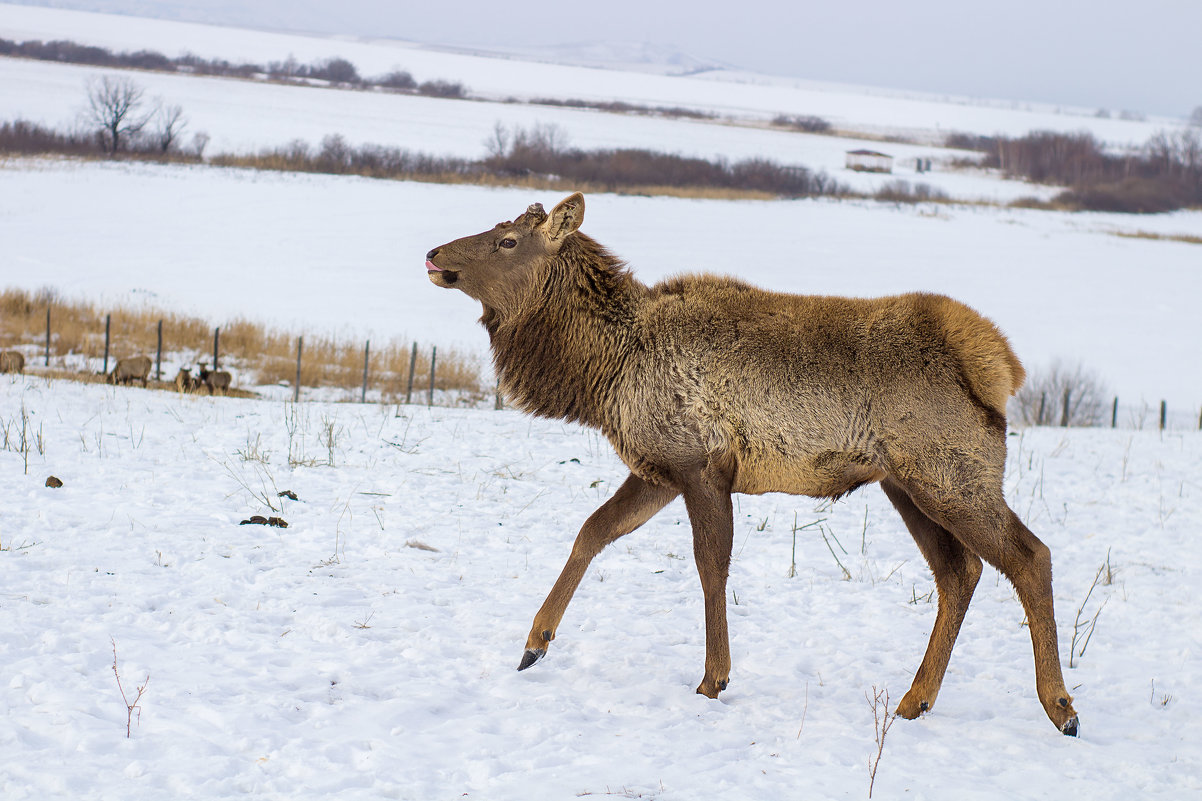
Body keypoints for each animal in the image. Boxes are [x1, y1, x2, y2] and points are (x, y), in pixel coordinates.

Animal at [430, 192, 1081, 731]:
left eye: (509, 240)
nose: (434, 253)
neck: (605, 372)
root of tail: (1000, 368)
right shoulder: (657, 469)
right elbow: (593, 531)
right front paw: (533, 644)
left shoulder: (701, 466)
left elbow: (710, 565)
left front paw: (713, 678)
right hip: (907, 485)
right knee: (959, 571)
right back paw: (915, 699)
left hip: (952, 475)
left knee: (1029, 556)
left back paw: (1060, 707)